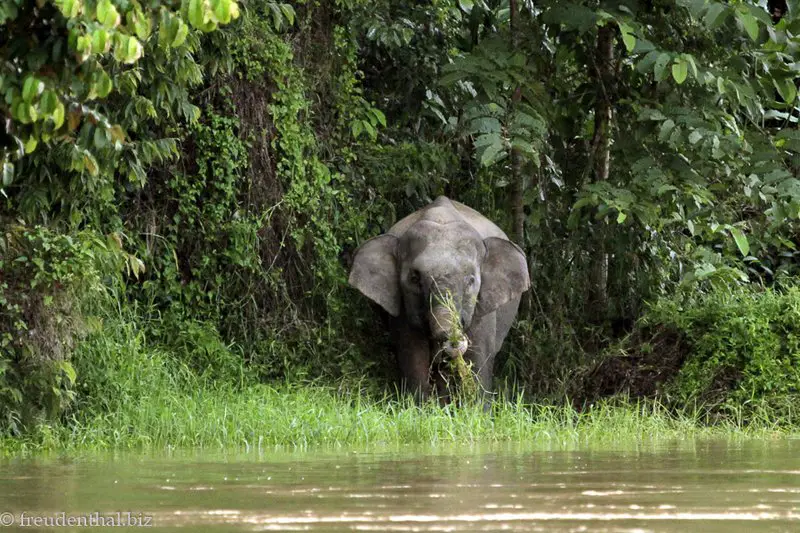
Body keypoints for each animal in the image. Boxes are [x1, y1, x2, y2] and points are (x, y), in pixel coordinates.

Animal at [346, 196, 528, 404]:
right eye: (414, 278)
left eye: (471, 280)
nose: (453, 338)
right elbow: (413, 354)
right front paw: (419, 407)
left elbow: (479, 356)